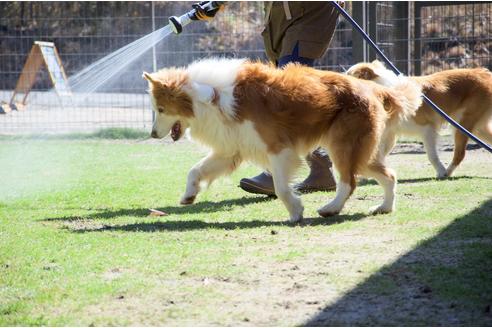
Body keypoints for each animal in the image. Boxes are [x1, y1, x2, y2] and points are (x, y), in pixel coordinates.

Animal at [144, 59, 420, 223]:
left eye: (161, 109)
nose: (153, 135)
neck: (210, 96)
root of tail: (372, 88)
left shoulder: (279, 149)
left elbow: (280, 186)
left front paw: (296, 211)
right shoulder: (230, 149)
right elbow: (195, 170)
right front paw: (188, 196)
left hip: (343, 146)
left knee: (349, 182)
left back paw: (331, 208)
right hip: (360, 151)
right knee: (389, 174)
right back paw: (384, 208)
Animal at [346, 61, 492, 179]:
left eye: (348, 76)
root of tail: (485, 74)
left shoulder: (427, 129)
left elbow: (432, 156)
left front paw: (440, 171)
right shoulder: (390, 134)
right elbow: (376, 156)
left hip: (461, 125)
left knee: (460, 154)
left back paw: (447, 172)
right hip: (476, 129)